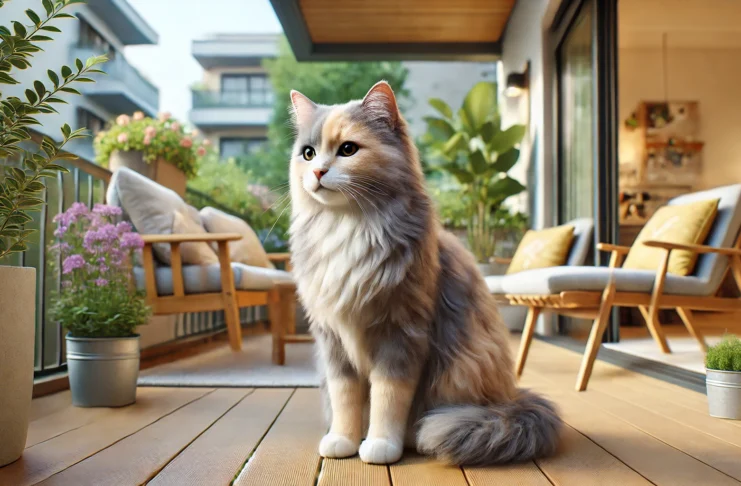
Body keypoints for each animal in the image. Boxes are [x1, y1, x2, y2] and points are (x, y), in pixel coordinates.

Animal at [288, 81, 560, 466]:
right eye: (308, 154)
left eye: (348, 149)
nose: (317, 173)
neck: (348, 228)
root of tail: (510, 400)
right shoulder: (333, 342)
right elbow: (345, 400)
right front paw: (343, 440)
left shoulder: (401, 333)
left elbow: (388, 398)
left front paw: (381, 445)